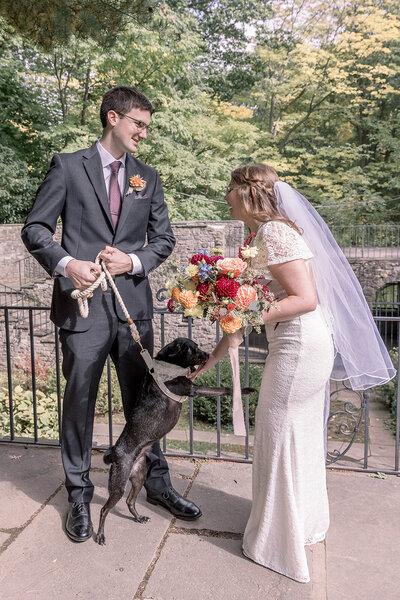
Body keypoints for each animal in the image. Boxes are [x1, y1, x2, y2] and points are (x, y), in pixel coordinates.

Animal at [95, 338, 253, 544]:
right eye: (194, 349)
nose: (208, 355)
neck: (169, 364)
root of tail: (115, 452)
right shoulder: (193, 389)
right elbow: (221, 389)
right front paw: (245, 389)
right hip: (118, 485)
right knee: (104, 509)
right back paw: (100, 535)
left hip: (139, 476)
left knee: (130, 501)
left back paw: (138, 518)